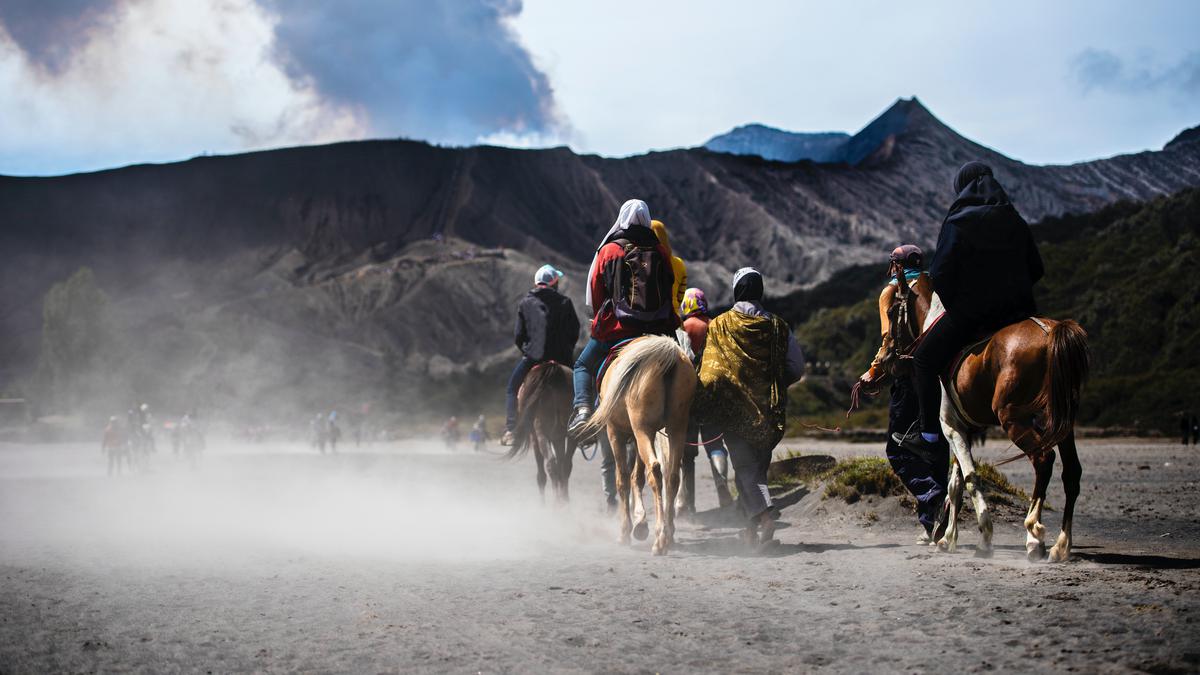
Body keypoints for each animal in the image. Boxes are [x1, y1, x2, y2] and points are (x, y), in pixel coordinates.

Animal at [506, 362, 576, 499]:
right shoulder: (558, 438)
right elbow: (561, 464)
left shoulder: (535, 438)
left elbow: (541, 476)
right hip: (570, 433)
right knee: (565, 465)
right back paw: (564, 500)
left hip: (540, 432)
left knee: (550, 464)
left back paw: (557, 502)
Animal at [578, 333, 700, 554]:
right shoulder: (640, 436)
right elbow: (637, 477)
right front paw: (640, 523)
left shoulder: (616, 432)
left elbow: (623, 479)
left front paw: (626, 531)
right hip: (675, 428)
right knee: (671, 476)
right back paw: (668, 533)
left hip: (642, 429)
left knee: (655, 470)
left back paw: (659, 539)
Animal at [921, 291, 1094, 559]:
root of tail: (1049, 331)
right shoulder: (963, 430)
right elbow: (955, 484)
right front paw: (948, 538)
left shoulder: (950, 426)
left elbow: (968, 479)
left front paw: (983, 538)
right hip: (1062, 423)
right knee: (1072, 473)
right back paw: (1060, 545)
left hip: (1013, 419)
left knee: (1043, 459)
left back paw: (1034, 530)